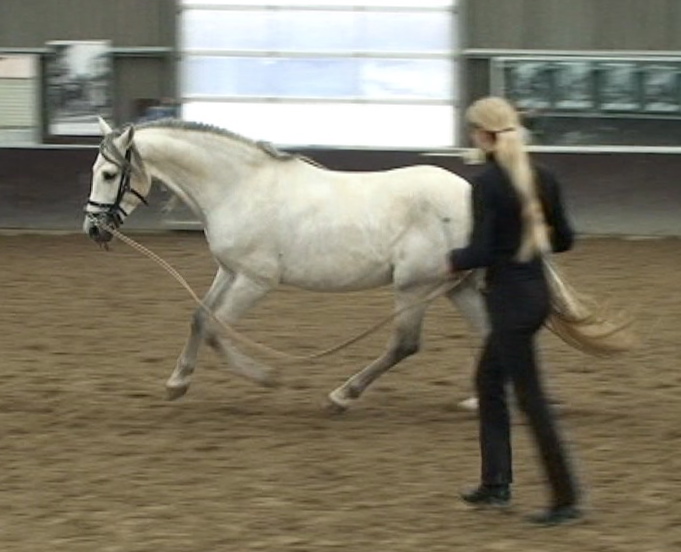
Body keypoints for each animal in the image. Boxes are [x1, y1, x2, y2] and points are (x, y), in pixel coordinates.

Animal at [83, 118, 636, 411]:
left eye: (109, 173)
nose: (93, 229)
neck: (242, 186)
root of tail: (476, 193)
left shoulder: (257, 280)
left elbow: (218, 329)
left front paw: (266, 378)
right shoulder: (230, 272)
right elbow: (200, 318)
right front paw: (178, 382)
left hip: (415, 287)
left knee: (404, 344)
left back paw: (343, 394)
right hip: (457, 287)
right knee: (490, 335)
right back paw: (480, 401)